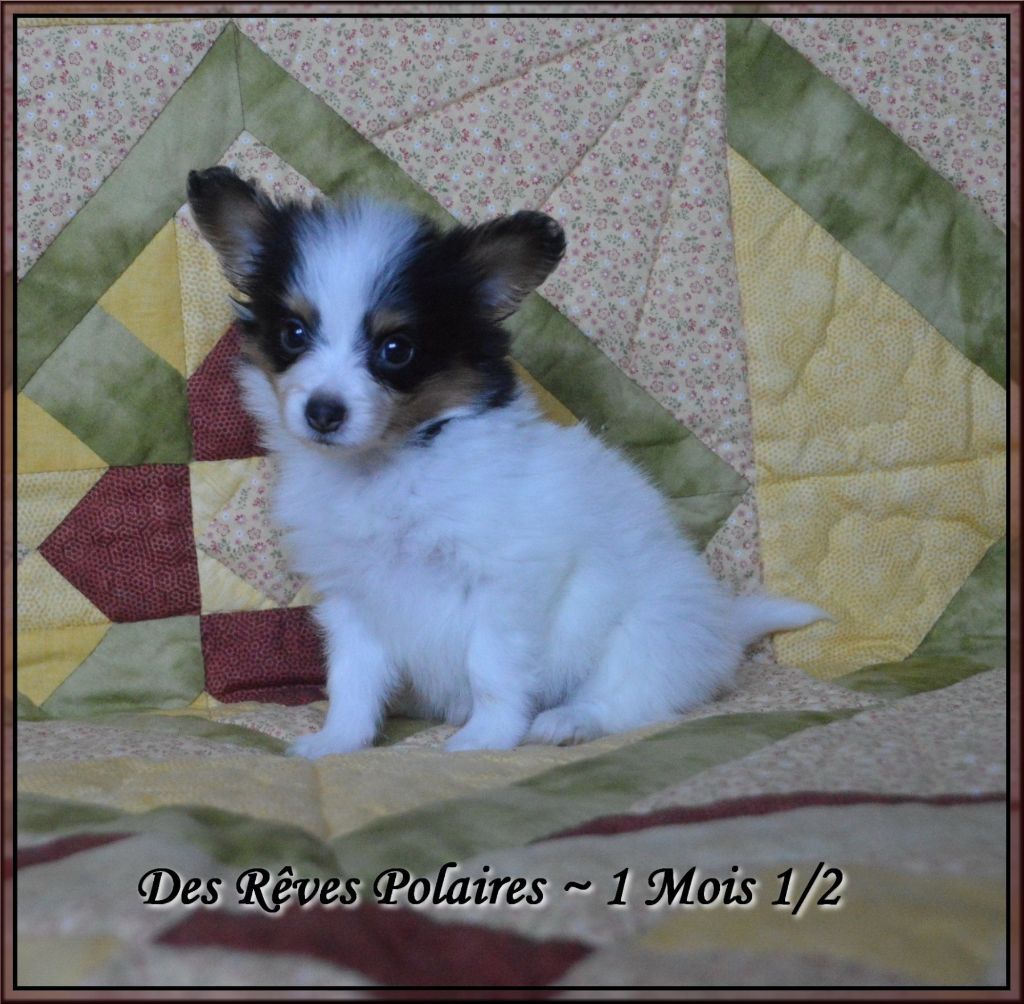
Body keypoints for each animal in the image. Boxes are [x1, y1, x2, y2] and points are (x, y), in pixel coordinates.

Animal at [187, 166, 826, 757]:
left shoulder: (507, 581)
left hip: (649, 630)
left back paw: (568, 721)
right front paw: (337, 742)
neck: (391, 466)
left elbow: (489, 668)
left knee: (633, 696)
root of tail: (723, 627)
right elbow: (352, 678)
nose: (323, 411)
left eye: (396, 349)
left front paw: (485, 739)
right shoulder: (353, 598)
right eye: (293, 334)